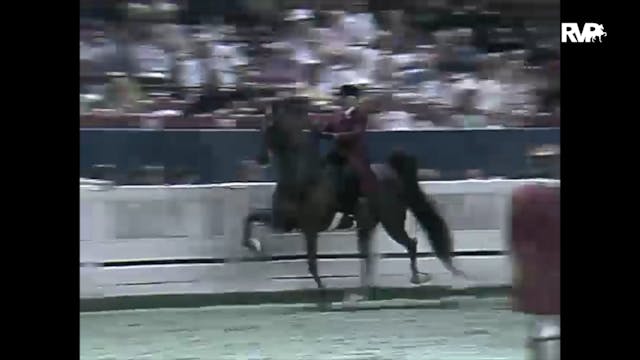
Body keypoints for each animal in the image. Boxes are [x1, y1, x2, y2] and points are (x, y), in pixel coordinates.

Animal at [242, 95, 462, 298]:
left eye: (269, 128)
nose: (260, 159)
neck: (302, 179)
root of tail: (392, 173)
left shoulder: (310, 228)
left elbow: (311, 262)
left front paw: (323, 290)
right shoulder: (282, 222)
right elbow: (250, 217)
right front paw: (253, 246)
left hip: (392, 222)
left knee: (410, 243)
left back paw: (415, 278)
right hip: (368, 225)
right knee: (369, 256)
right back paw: (367, 289)